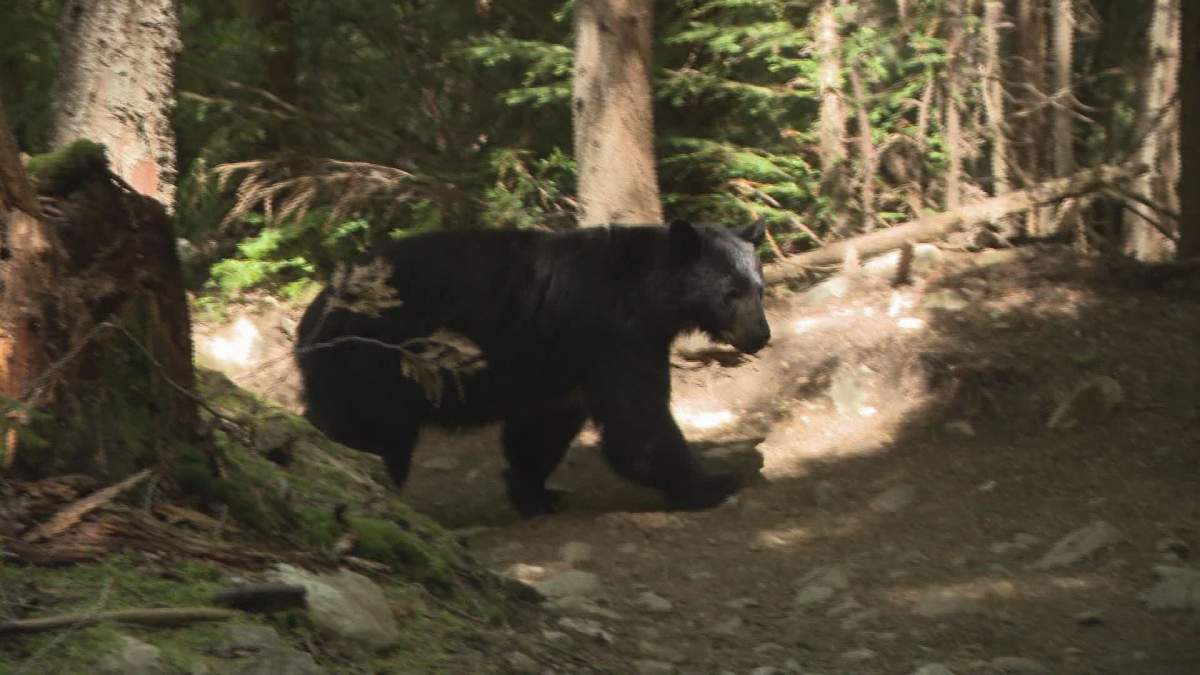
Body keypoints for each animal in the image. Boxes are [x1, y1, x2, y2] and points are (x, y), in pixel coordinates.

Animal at [294, 219, 771, 516]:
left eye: (759, 288)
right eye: (731, 292)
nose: (761, 335)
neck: (645, 289)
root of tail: (311, 318)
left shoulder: (560, 358)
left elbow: (544, 423)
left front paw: (536, 493)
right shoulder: (615, 334)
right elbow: (638, 421)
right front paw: (711, 483)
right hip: (375, 364)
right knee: (371, 436)